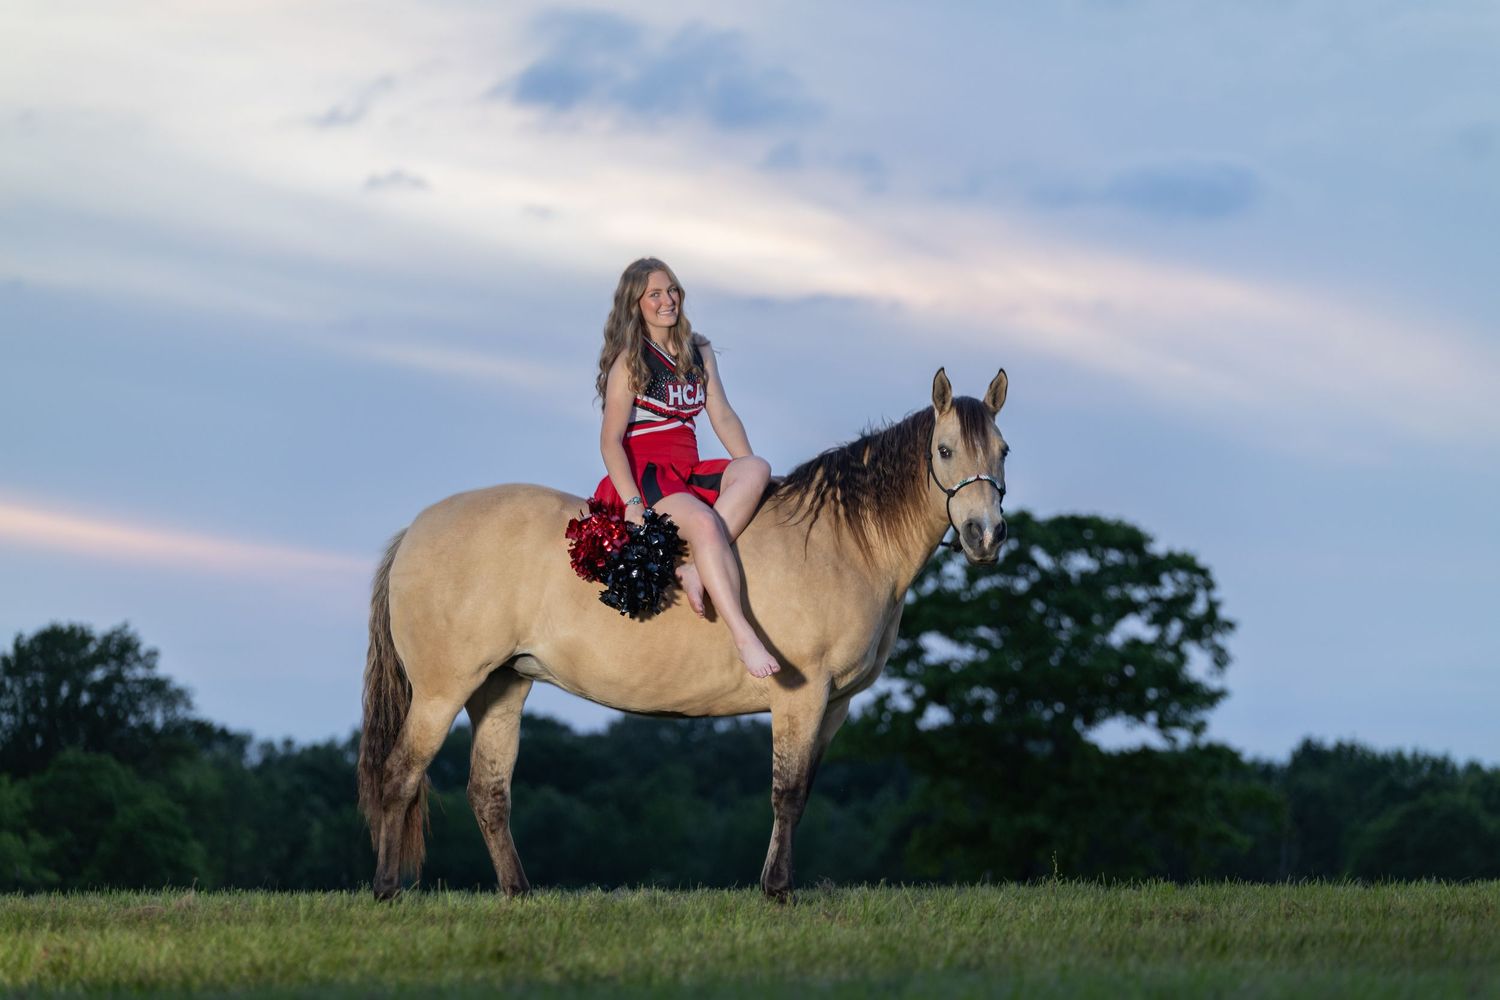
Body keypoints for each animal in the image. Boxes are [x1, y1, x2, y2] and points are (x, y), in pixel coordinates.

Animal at [357, 367, 1010, 900]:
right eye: (945, 450)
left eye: (1004, 450)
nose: (986, 535)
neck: (841, 542)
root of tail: (415, 530)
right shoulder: (802, 698)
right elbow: (787, 791)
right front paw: (777, 890)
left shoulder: (835, 706)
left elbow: (801, 796)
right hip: (443, 690)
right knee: (400, 775)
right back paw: (387, 890)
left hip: (502, 687)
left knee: (488, 792)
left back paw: (518, 893)